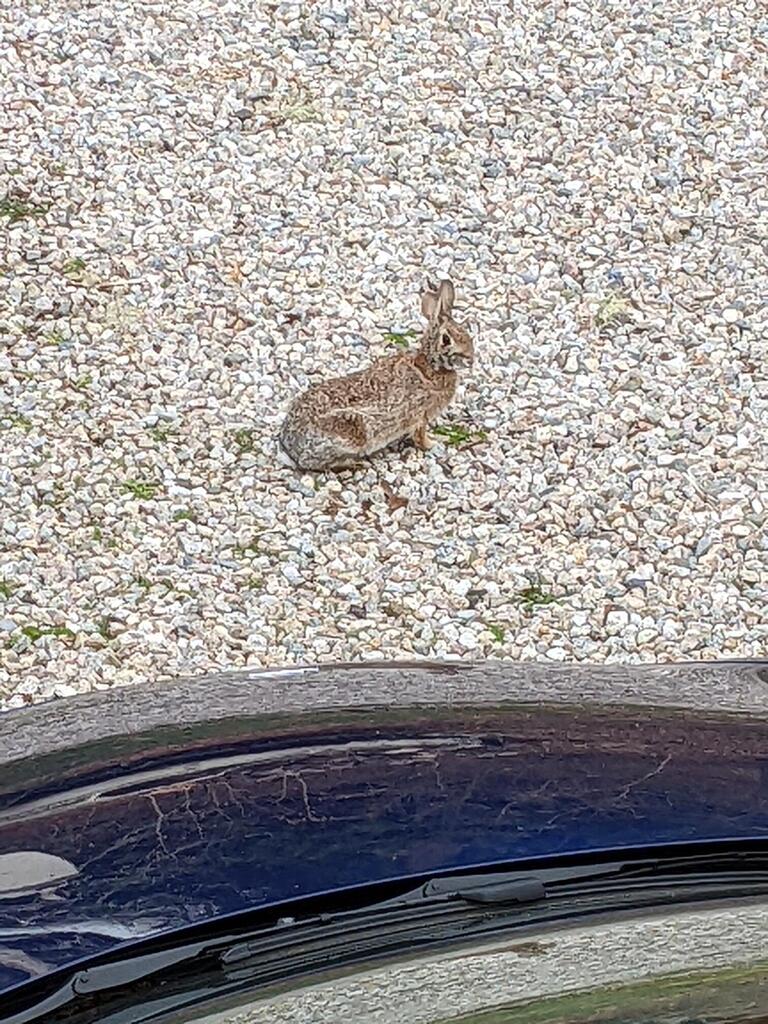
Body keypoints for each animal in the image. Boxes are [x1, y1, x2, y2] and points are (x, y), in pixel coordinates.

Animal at [278, 278, 474, 471]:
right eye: (446, 339)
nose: (470, 357)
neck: (430, 365)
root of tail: (291, 445)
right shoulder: (420, 415)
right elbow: (420, 436)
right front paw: (434, 443)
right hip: (352, 433)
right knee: (312, 462)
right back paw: (355, 463)